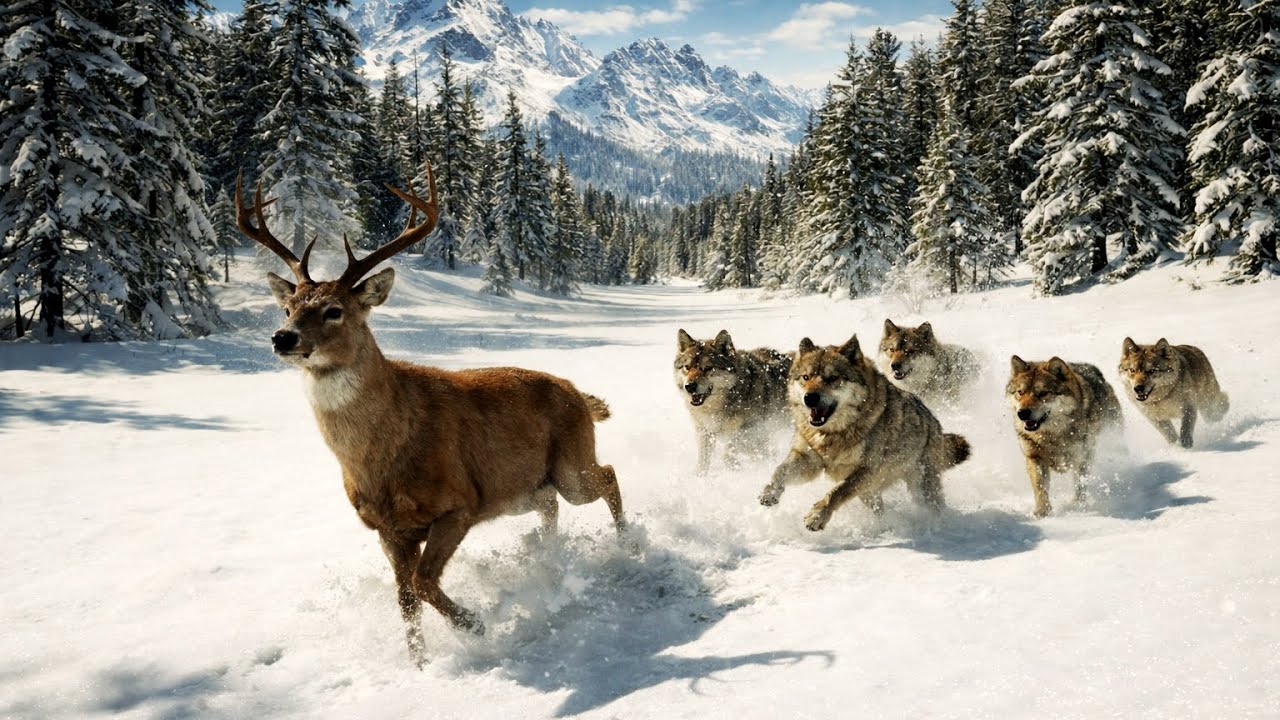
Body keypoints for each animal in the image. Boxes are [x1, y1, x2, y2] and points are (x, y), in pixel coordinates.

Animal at [235, 165, 626, 666]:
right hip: (525, 489)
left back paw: (630, 545)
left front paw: (477, 625)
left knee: (608, 476)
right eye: (287, 307)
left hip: (572, 464)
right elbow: (404, 600)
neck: (384, 458)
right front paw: (419, 663)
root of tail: (578, 394)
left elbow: (422, 583)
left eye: (334, 310)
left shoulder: (458, 503)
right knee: (551, 507)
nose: (282, 337)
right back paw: (552, 565)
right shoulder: (387, 529)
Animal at [675, 329, 792, 473]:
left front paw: (736, 465)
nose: (689, 386)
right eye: (687, 367)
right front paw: (700, 476)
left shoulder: (754, 428)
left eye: (708, 368)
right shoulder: (704, 431)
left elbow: (731, 449)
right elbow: (703, 460)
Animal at [757, 335, 971, 531]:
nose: (809, 398)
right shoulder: (809, 460)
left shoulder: (865, 470)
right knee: (879, 508)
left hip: (919, 488)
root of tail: (934, 421)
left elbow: (836, 492)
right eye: (806, 377)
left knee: (934, 507)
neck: (834, 432)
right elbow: (780, 471)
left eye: (833, 378)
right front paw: (769, 493)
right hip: (868, 493)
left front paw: (816, 516)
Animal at [1007, 356, 1123, 518]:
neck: (1052, 435)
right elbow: (1040, 488)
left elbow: (1080, 485)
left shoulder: (1083, 458)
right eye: (1020, 392)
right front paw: (1042, 513)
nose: (1022, 413)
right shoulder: (1034, 458)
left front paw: (1078, 507)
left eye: (1043, 393)